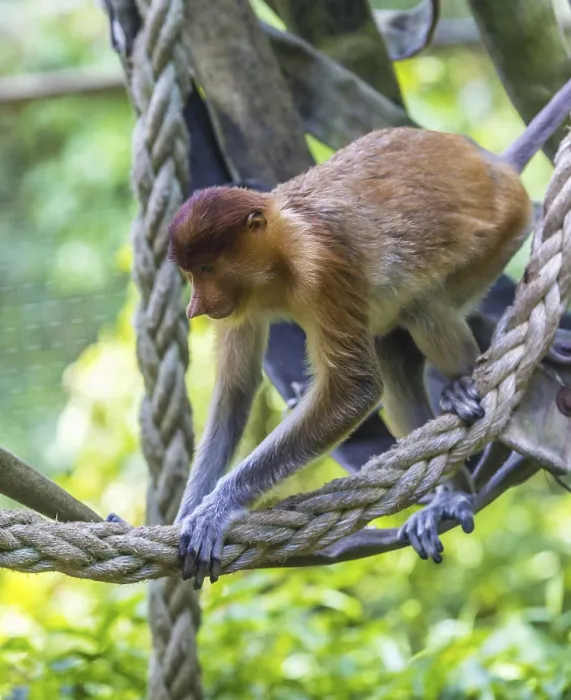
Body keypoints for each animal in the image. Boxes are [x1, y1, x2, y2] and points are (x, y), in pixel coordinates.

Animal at [168, 77, 571, 587]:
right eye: (190, 273)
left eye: (204, 268)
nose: (195, 307)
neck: (283, 245)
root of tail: (492, 164)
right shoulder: (243, 306)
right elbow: (236, 391)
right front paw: (187, 512)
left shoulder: (322, 268)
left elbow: (353, 390)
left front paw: (215, 510)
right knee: (396, 358)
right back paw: (451, 494)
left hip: (498, 237)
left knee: (425, 308)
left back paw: (463, 403)